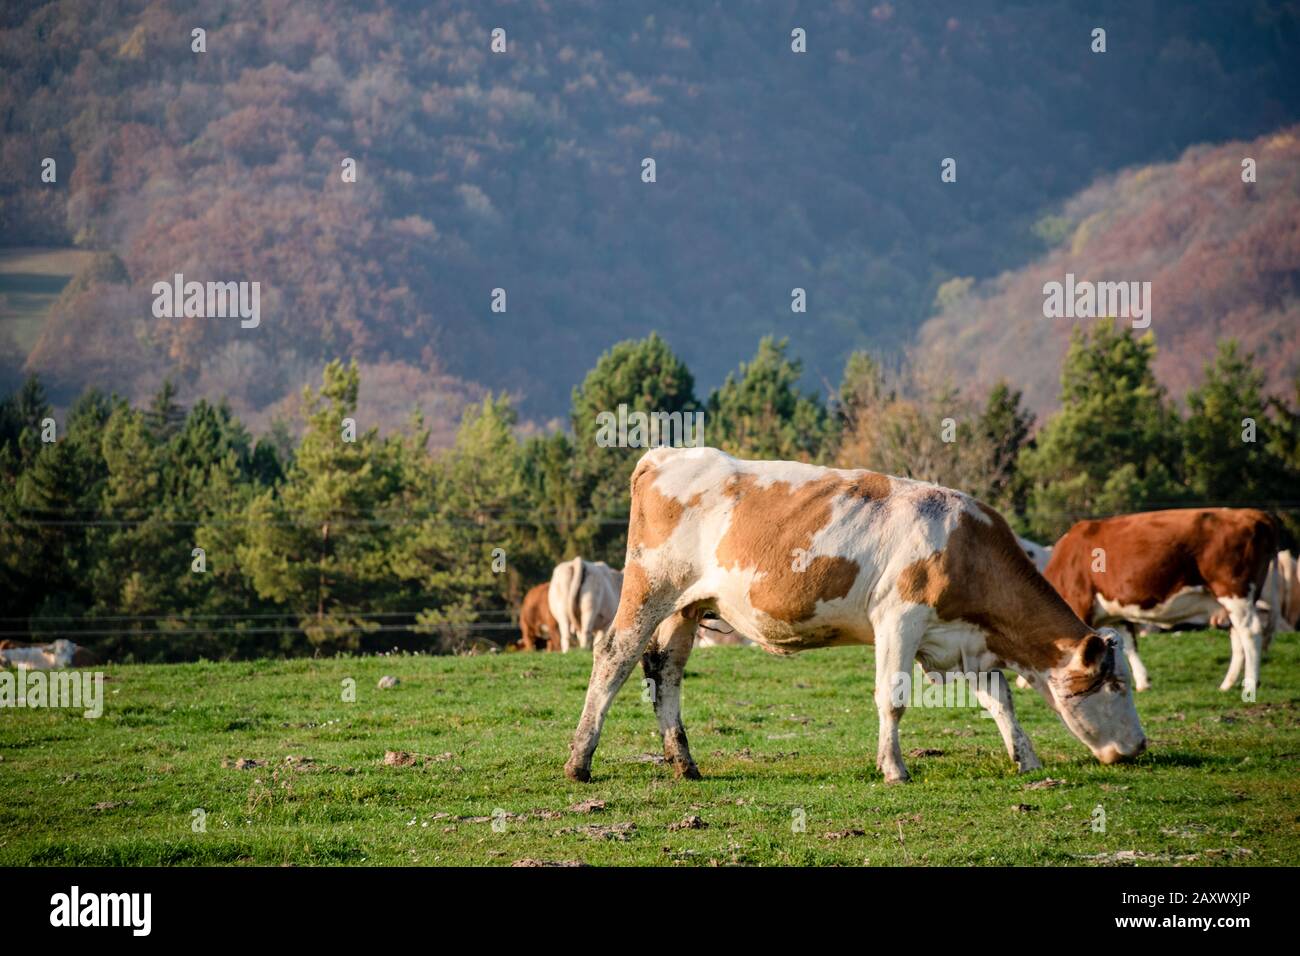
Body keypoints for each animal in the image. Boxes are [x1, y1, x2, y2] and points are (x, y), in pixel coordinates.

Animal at [564, 447, 1144, 785]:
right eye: (1116, 686)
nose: (1140, 746)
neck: (966, 546)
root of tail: (666, 453)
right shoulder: (900, 618)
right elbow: (893, 698)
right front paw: (894, 769)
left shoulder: (963, 643)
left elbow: (1000, 700)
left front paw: (1027, 760)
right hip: (650, 587)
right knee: (613, 658)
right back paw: (580, 761)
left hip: (686, 606)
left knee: (666, 671)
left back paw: (685, 763)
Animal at [1040, 504, 1274, 697]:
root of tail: (1254, 514)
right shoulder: (1115, 613)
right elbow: (1129, 644)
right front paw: (1143, 681)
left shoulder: (1079, 604)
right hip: (1234, 601)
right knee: (1238, 636)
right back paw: (1227, 684)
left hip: (1235, 592)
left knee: (1250, 632)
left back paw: (1250, 684)